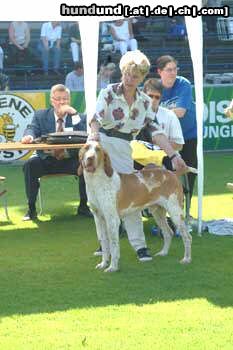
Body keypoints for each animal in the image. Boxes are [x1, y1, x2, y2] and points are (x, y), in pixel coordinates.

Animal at [77, 141, 194, 272]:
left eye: (97, 150)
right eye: (86, 148)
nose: (90, 158)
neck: (96, 181)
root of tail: (172, 173)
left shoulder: (112, 220)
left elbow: (113, 245)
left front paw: (113, 267)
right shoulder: (98, 218)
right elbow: (104, 244)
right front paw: (103, 263)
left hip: (175, 213)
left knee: (187, 237)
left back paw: (187, 259)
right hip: (157, 213)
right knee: (168, 232)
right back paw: (163, 253)